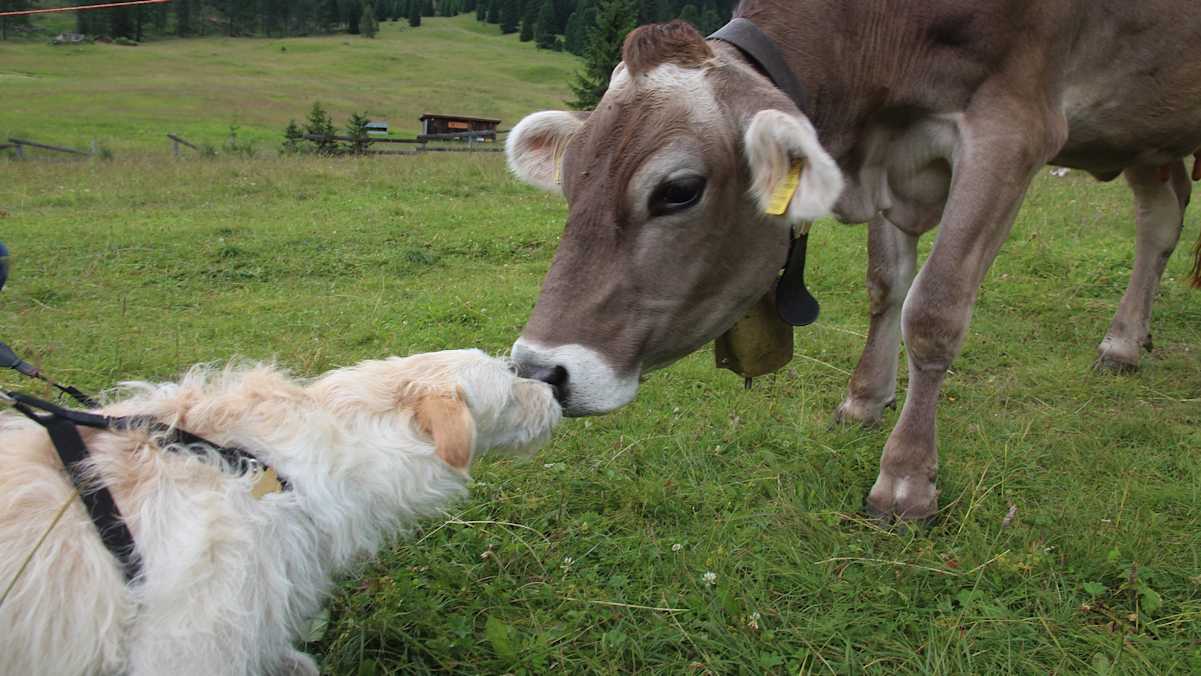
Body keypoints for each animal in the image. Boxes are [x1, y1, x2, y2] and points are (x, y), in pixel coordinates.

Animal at [504, 2, 1201, 522]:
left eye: (678, 190)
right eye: (569, 180)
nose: (540, 371)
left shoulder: (1012, 126)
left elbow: (934, 310)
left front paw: (905, 479)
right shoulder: (890, 151)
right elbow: (886, 286)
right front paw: (865, 401)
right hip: (1149, 136)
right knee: (1161, 219)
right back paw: (1126, 341)